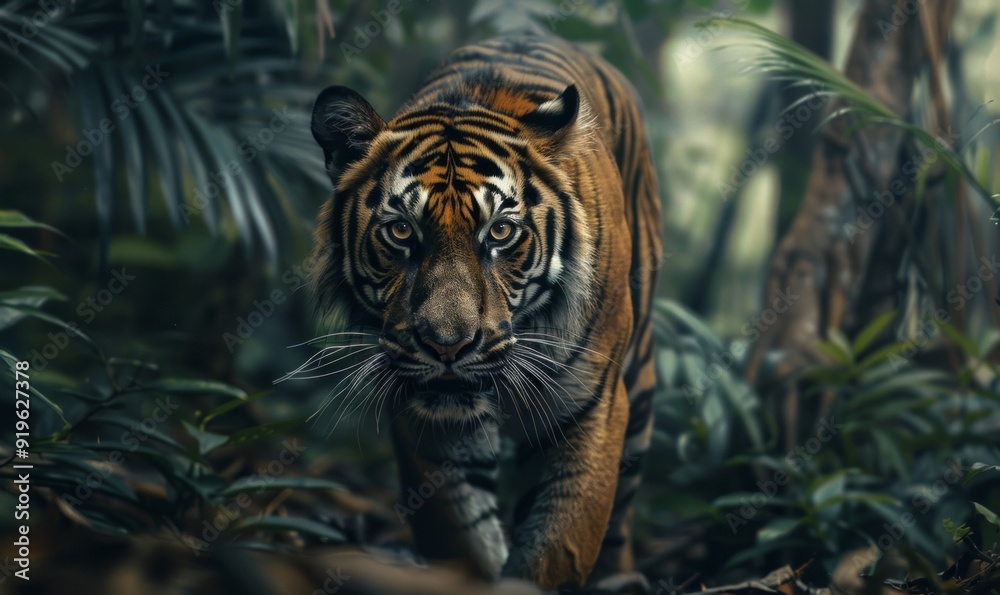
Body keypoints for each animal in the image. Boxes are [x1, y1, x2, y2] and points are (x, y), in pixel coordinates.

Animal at [308, 33, 662, 591]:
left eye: (500, 231)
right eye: (401, 231)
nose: (447, 345)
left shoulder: (592, 403)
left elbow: (560, 540)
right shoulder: (428, 421)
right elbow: (463, 538)